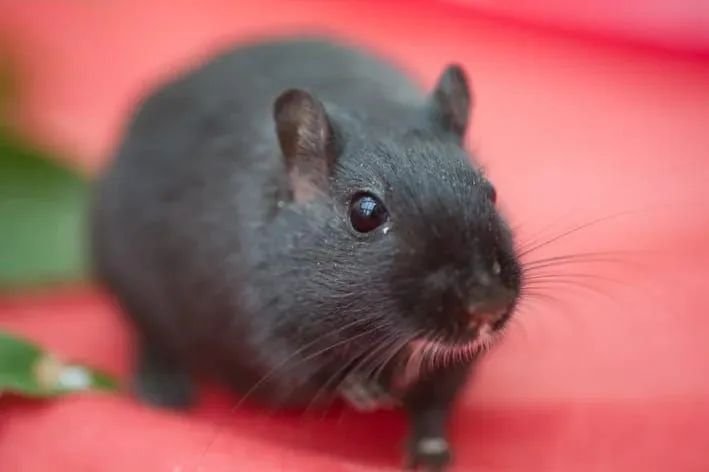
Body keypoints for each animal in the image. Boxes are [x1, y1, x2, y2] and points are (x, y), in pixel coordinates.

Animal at [91, 37, 521, 471]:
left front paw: (430, 453)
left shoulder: (456, 365)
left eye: (491, 192)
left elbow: (435, 407)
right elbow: (325, 374)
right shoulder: (274, 338)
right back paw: (162, 389)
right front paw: (370, 392)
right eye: (366, 213)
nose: (488, 305)